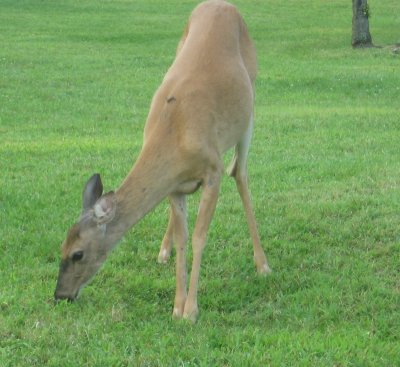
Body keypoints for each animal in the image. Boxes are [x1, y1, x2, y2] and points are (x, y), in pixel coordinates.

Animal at [54, 0, 272, 322]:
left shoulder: (212, 171)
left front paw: (191, 310)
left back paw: (262, 264)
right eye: (62, 246)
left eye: (77, 253)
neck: (175, 134)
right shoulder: (174, 187)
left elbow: (199, 236)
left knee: (240, 172)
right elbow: (183, 238)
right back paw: (163, 252)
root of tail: (222, 4)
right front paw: (177, 305)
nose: (60, 296)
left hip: (250, 106)